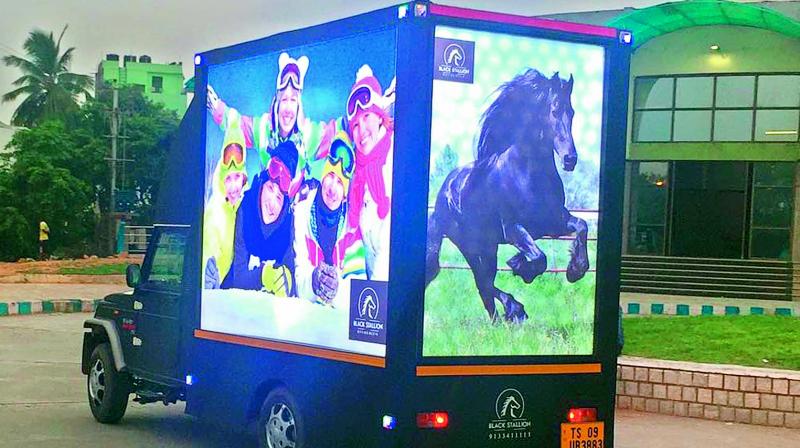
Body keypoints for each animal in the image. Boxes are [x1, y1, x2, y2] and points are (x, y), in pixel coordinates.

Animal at [424, 69, 588, 322]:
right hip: (471, 246)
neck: (527, 175)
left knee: (484, 285)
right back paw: (514, 311)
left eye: (571, 112)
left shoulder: (553, 222)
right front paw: (520, 267)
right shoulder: (512, 229)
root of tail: (445, 191)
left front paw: (574, 270)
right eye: (553, 110)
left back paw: (501, 319)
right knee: (482, 282)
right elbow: (539, 259)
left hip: (487, 247)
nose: (570, 159)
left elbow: (581, 226)